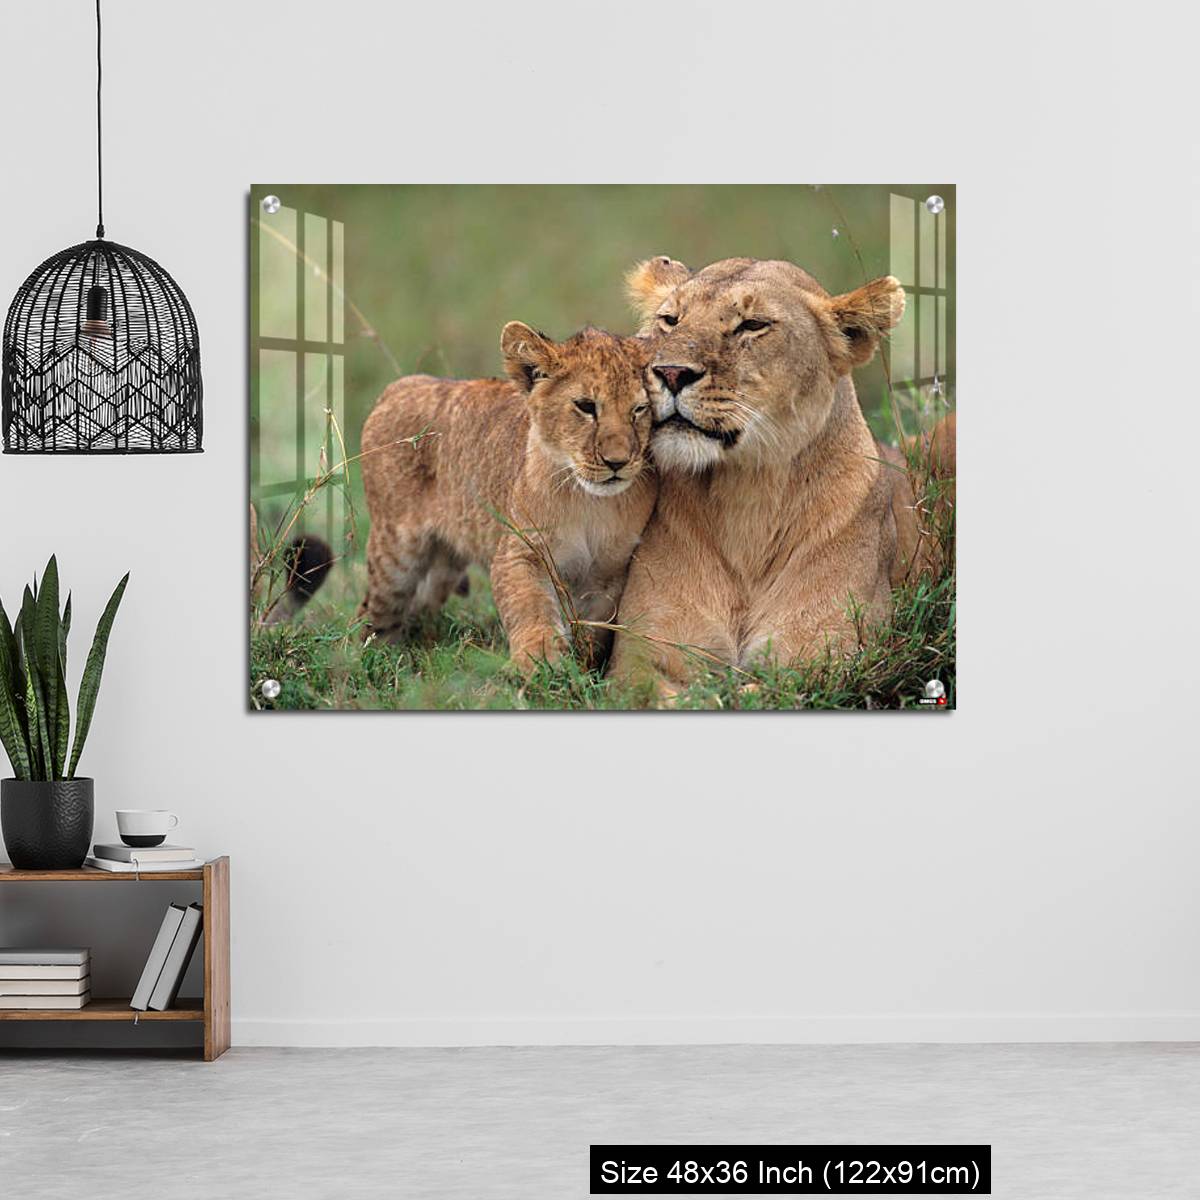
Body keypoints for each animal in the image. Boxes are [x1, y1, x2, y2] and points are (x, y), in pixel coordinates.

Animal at [359, 324, 657, 672]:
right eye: (585, 406)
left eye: (639, 409)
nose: (617, 462)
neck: (590, 502)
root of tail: (400, 386)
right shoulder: (520, 551)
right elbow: (531, 607)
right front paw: (539, 661)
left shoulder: (609, 574)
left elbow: (592, 631)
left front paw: (581, 669)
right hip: (395, 553)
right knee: (373, 612)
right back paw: (369, 657)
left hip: (445, 564)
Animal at [609, 255, 953, 689]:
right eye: (670, 320)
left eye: (753, 325)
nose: (671, 373)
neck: (746, 498)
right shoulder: (639, 658)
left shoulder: (828, 657)